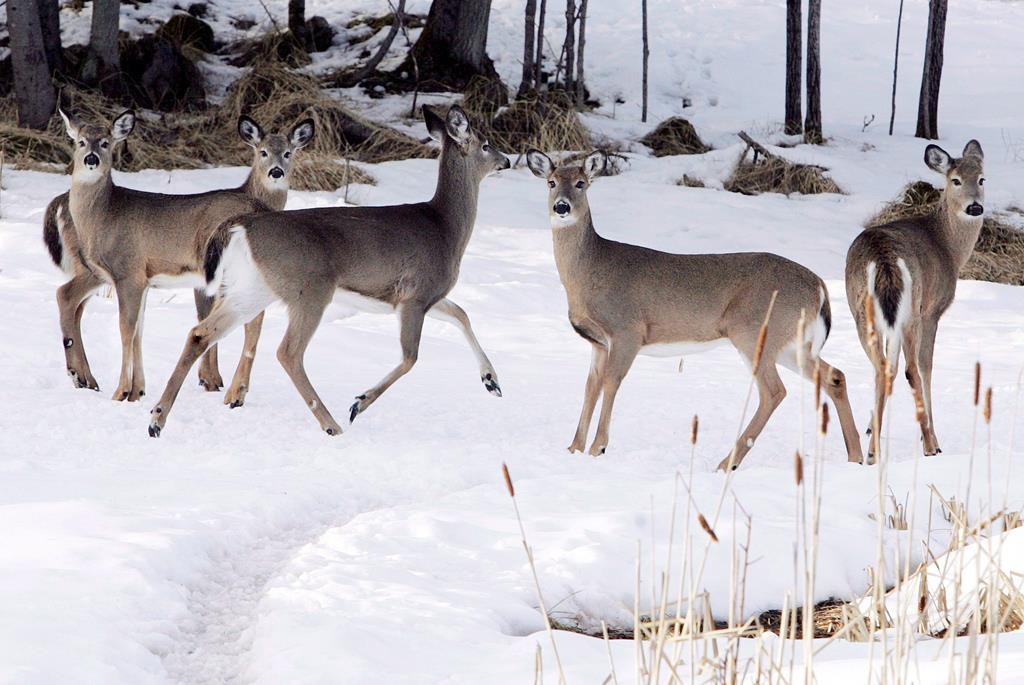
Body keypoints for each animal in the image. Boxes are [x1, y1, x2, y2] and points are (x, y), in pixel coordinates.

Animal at [54, 107, 313, 403]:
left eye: (106, 143)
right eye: (80, 141)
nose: (91, 158)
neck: (105, 214)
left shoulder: (129, 272)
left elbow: (127, 329)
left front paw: (122, 392)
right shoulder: (142, 279)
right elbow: (138, 330)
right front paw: (137, 391)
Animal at [146, 104, 509, 437]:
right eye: (486, 144)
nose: (506, 161)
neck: (445, 227)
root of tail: (241, 225)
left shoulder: (428, 297)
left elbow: (461, 314)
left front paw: (491, 381)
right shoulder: (415, 294)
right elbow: (411, 357)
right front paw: (359, 402)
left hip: (252, 288)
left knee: (200, 333)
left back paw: (156, 420)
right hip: (310, 288)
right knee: (288, 352)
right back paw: (331, 424)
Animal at [526, 149, 864, 470]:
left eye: (581, 183)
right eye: (551, 182)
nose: (561, 207)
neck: (589, 273)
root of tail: (819, 286)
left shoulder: (626, 330)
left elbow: (611, 383)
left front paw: (598, 447)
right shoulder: (597, 341)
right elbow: (590, 387)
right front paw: (573, 448)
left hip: (753, 331)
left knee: (774, 391)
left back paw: (728, 462)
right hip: (793, 343)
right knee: (834, 376)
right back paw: (857, 456)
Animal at [846, 140, 985, 461]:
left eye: (982, 179)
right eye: (955, 180)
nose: (975, 206)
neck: (949, 247)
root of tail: (884, 259)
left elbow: (891, 364)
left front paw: (871, 426)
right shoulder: (932, 311)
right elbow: (926, 366)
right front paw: (931, 436)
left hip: (863, 311)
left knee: (883, 368)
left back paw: (872, 450)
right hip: (913, 310)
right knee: (912, 369)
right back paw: (930, 445)